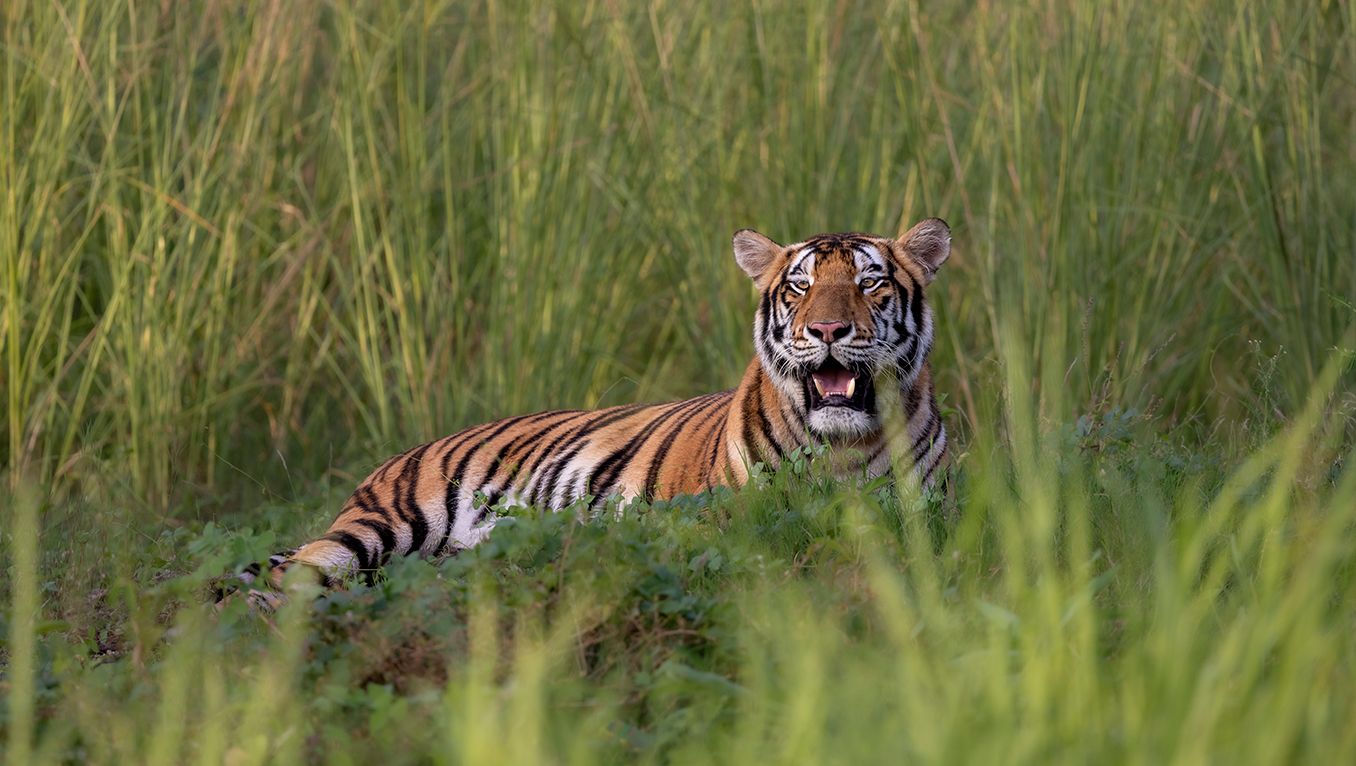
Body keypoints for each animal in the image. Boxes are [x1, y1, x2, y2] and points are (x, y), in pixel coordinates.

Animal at [242, 218, 952, 592]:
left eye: (870, 282)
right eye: (800, 288)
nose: (827, 330)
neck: (842, 448)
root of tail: (397, 456)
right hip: (384, 523)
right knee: (292, 577)